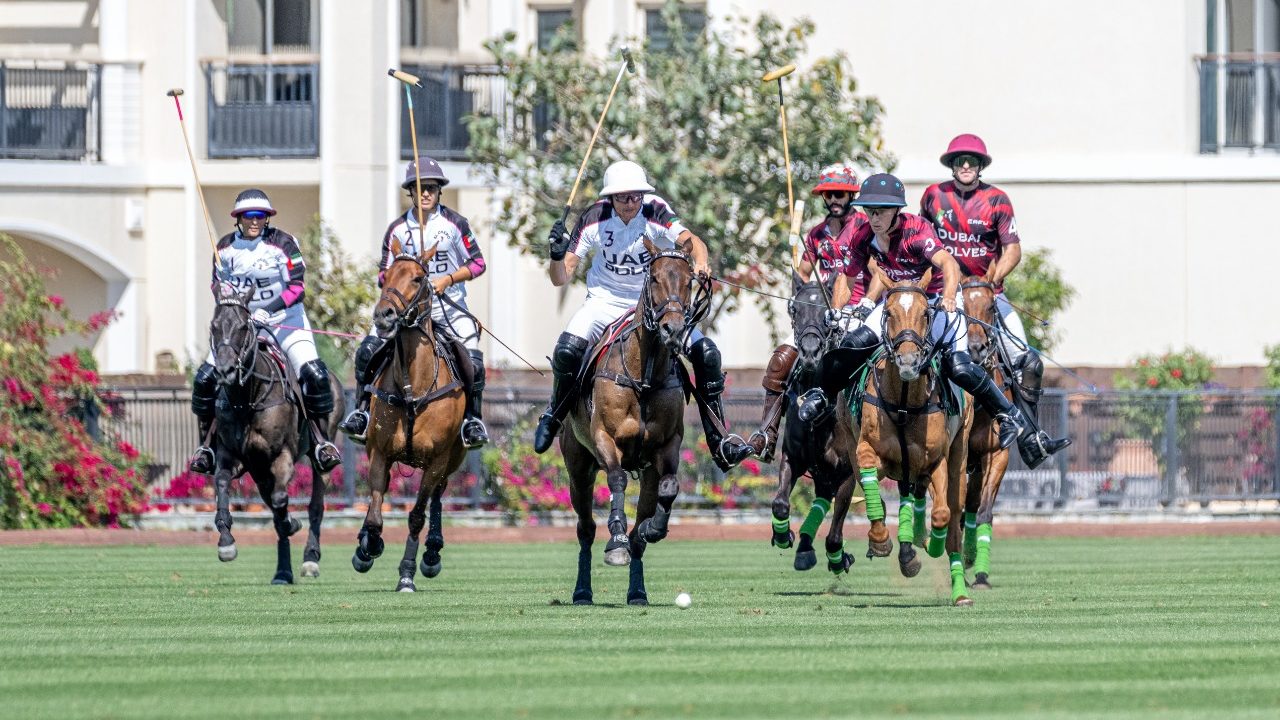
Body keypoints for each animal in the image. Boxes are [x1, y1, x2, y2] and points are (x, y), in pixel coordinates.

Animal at [350, 238, 471, 591]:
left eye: (418, 278)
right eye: (385, 276)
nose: (384, 315)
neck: (412, 387)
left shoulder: (437, 461)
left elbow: (417, 514)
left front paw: (407, 572)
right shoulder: (379, 452)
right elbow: (375, 512)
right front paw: (367, 547)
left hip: (453, 460)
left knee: (438, 498)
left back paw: (431, 552)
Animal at [563, 238, 711, 602]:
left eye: (689, 281)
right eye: (654, 278)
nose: (673, 329)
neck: (644, 376)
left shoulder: (666, 446)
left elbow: (670, 487)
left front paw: (653, 528)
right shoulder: (605, 437)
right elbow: (616, 479)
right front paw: (615, 541)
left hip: (645, 474)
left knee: (638, 534)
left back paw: (637, 590)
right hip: (578, 468)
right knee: (585, 528)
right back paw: (583, 590)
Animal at [762, 279, 865, 571]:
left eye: (826, 314)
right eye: (794, 309)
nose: (809, 353)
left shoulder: (846, 470)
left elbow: (835, 532)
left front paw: (840, 557)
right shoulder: (792, 457)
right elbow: (780, 503)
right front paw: (783, 535)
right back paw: (805, 547)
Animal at [849, 271, 967, 602]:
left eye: (926, 313)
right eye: (888, 313)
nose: (908, 362)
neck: (903, 401)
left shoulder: (935, 459)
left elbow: (941, 514)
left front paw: (931, 543)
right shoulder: (868, 449)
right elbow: (871, 484)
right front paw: (880, 539)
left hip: (958, 456)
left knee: (951, 512)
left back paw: (957, 589)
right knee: (902, 495)